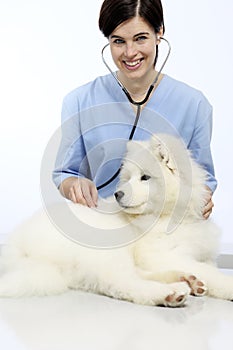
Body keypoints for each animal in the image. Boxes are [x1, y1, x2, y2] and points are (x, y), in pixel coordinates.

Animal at [0, 134, 233, 306]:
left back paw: (186, 280)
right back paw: (171, 293)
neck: (167, 216)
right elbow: (212, 273)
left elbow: (208, 267)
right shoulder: (160, 254)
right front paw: (228, 286)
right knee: (124, 283)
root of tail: (18, 245)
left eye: (145, 177)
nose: (117, 194)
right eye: (128, 178)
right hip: (107, 250)